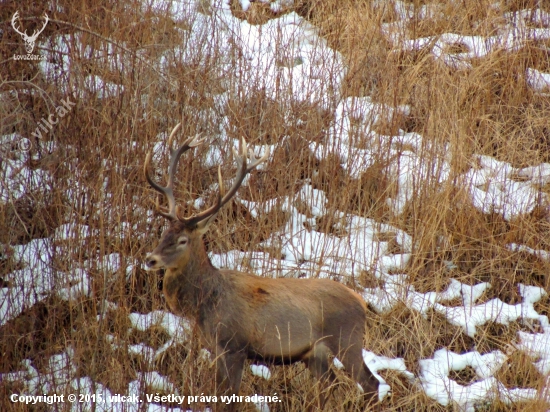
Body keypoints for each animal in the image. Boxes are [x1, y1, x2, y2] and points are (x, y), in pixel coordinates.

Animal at [144, 124, 382, 410]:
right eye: (164, 234)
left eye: (182, 240)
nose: (150, 259)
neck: (204, 304)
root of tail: (362, 302)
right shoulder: (216, 349)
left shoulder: (234, 346)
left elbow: (229, 399)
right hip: (315, 354)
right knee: (331, 385)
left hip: (347, 339)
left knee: (370, 383)